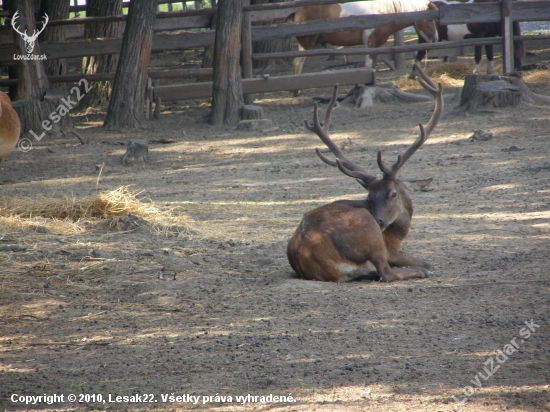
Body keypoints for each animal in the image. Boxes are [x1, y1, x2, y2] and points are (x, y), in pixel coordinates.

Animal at [288, 0, 440, 75]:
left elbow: (373, 66)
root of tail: (297, 12)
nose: (435, 39)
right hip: (307, 46)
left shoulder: (376, 47)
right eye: (430, 19)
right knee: (297, 64)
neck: (380, 14)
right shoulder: (370, 44)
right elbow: (368, 65)